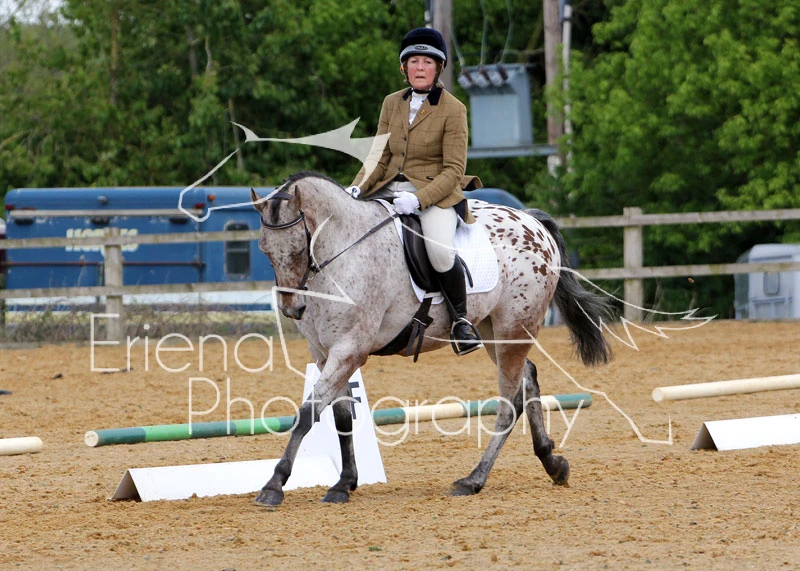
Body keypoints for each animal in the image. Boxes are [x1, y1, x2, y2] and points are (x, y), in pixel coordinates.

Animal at [250, 171, 614, 506]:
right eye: (265, 251)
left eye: (299, 247)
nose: (293, 308)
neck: (344, 250)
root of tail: (532, 221)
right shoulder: (325, 353)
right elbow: (340, 417)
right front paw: (344, 483)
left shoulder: (350, 349)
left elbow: (307, 414)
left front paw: (274, 485)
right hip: (495, 333)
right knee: (528, 380)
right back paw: (552, 463)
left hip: (514, 329)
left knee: (510, 403)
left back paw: (473, 480)